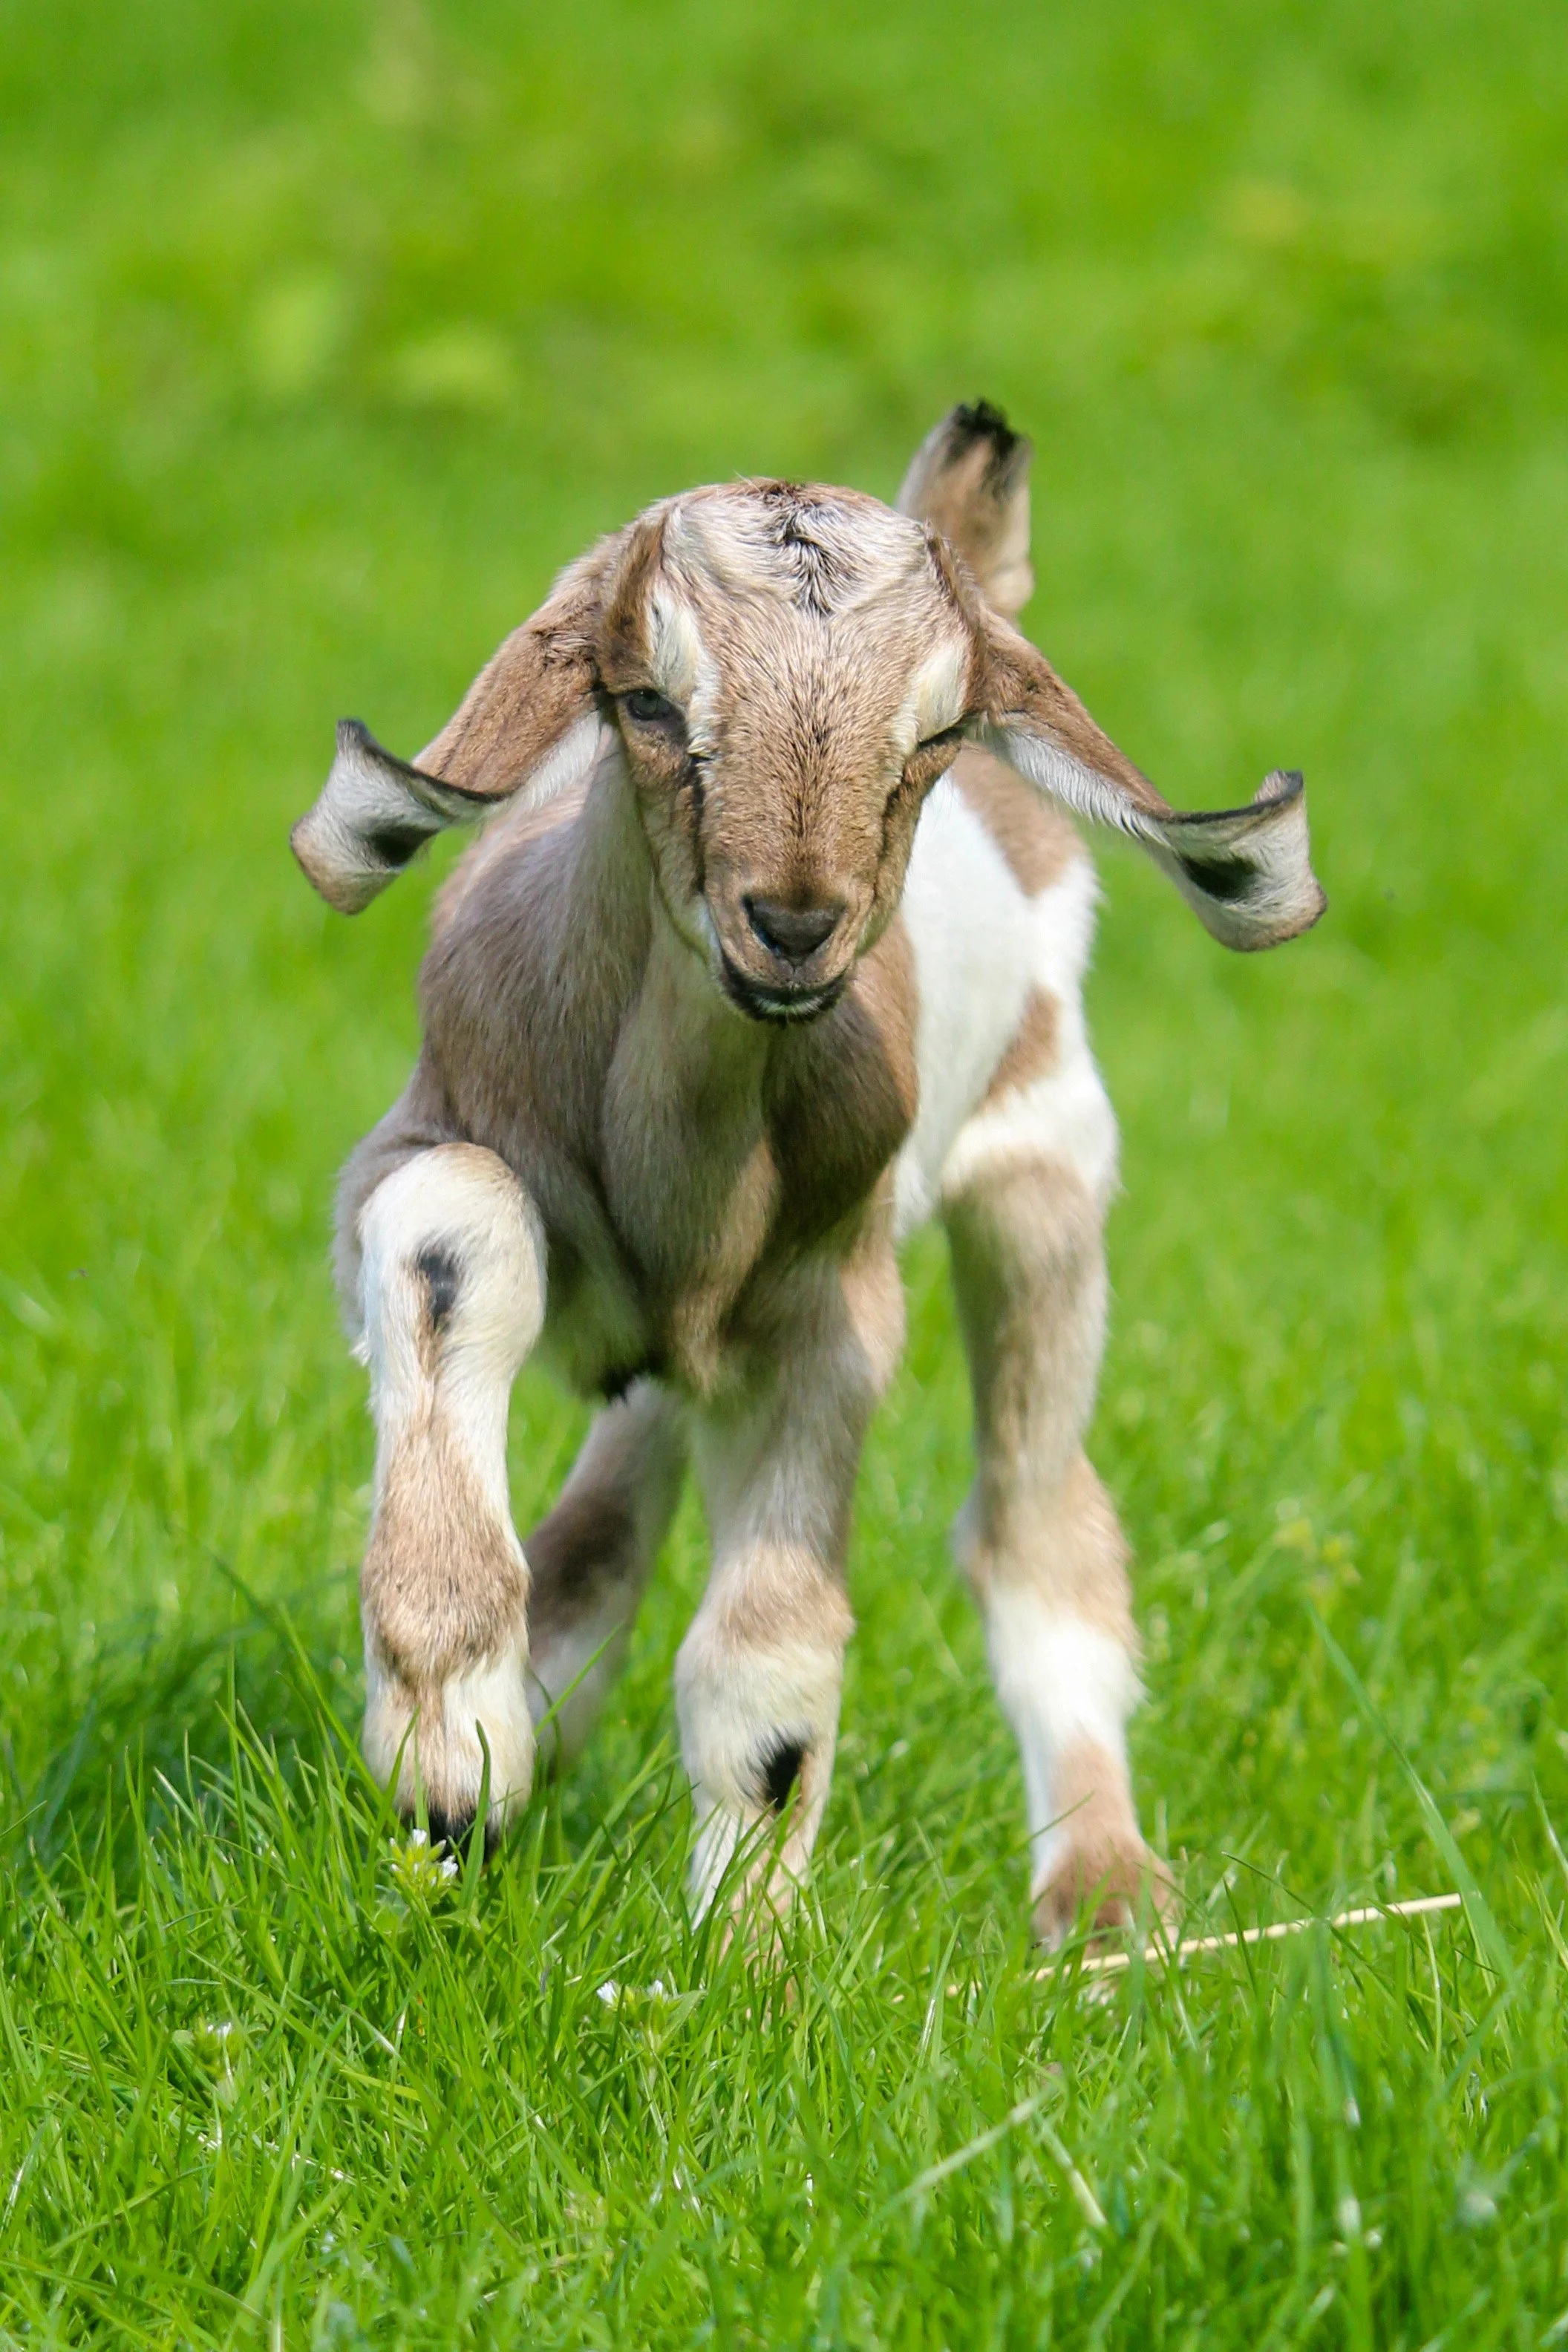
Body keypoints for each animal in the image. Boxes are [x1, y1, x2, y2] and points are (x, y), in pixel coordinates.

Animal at [291, 403, 1324, 1939]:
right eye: (646, 700)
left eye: (941, 723)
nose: (791, 923)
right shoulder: (412, 1147)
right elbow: (456, 1233)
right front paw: (448, 1752)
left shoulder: (826, 1312)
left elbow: (762, 1659)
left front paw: (743, 1950)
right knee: (609, 1503)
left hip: (1042, 1177)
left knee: (1034, 1526)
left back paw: (1103, 1897)